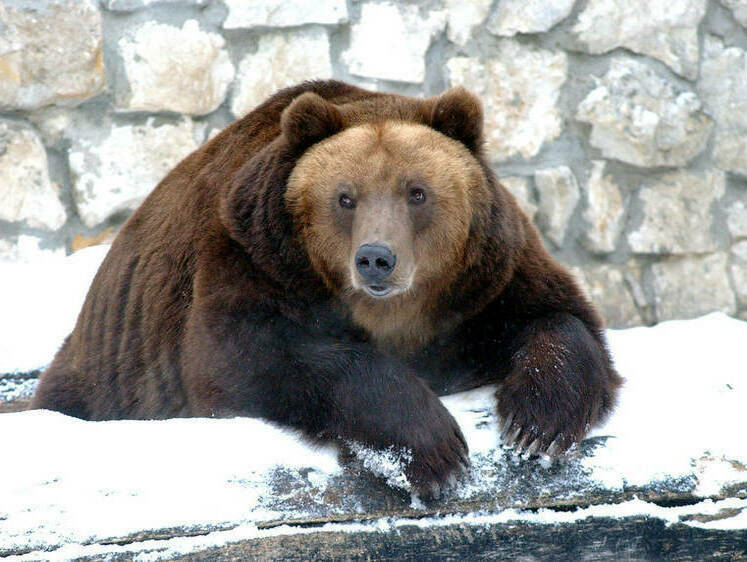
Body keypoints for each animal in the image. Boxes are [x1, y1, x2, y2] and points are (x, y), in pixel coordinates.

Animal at [30, 80, 620, 494]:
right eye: (345, 197)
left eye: (417, 192)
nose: (376, 259)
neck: (394, 314)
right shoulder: (254, 256)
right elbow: (253, 355)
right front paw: (434, 451)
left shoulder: (483, 280)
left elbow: (558, 317)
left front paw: (536, 425)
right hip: (110, 373)